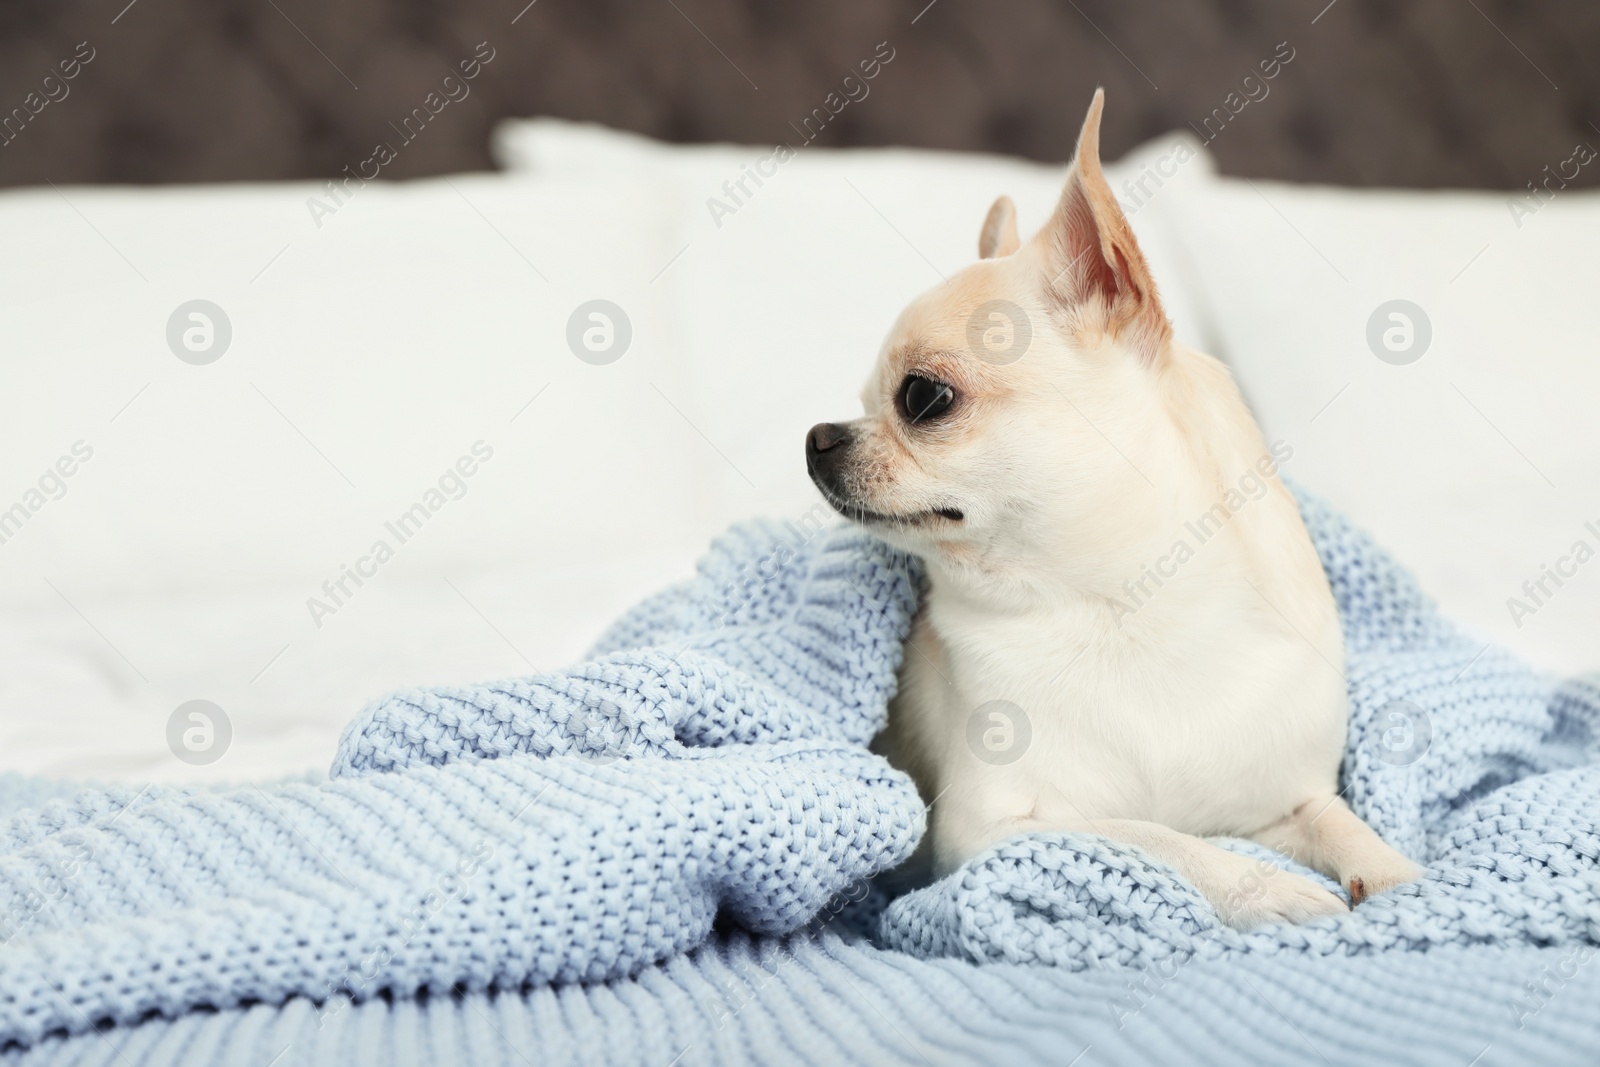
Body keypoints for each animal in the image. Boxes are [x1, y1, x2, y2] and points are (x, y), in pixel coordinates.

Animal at [812, 91, 1427, 927]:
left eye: (922, 398)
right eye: (861, 401)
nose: (818, 437)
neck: (1124, 608)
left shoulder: (1280, 804)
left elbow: (1338, 819)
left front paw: (1399, 876)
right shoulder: (995, 829)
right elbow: (1153, 835)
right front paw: (1266, 886)